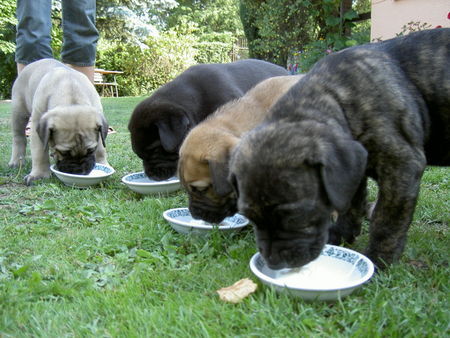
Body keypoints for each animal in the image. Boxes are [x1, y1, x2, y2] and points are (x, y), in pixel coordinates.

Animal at [230, 28, 448, 270]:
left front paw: (378, 259)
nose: (274, 263)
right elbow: (350, 204)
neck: (338, 97)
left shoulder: (401, 166)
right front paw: (340, 236)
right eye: (249, 216)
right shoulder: (350, 171)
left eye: (295, 217)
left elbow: (387, 220)